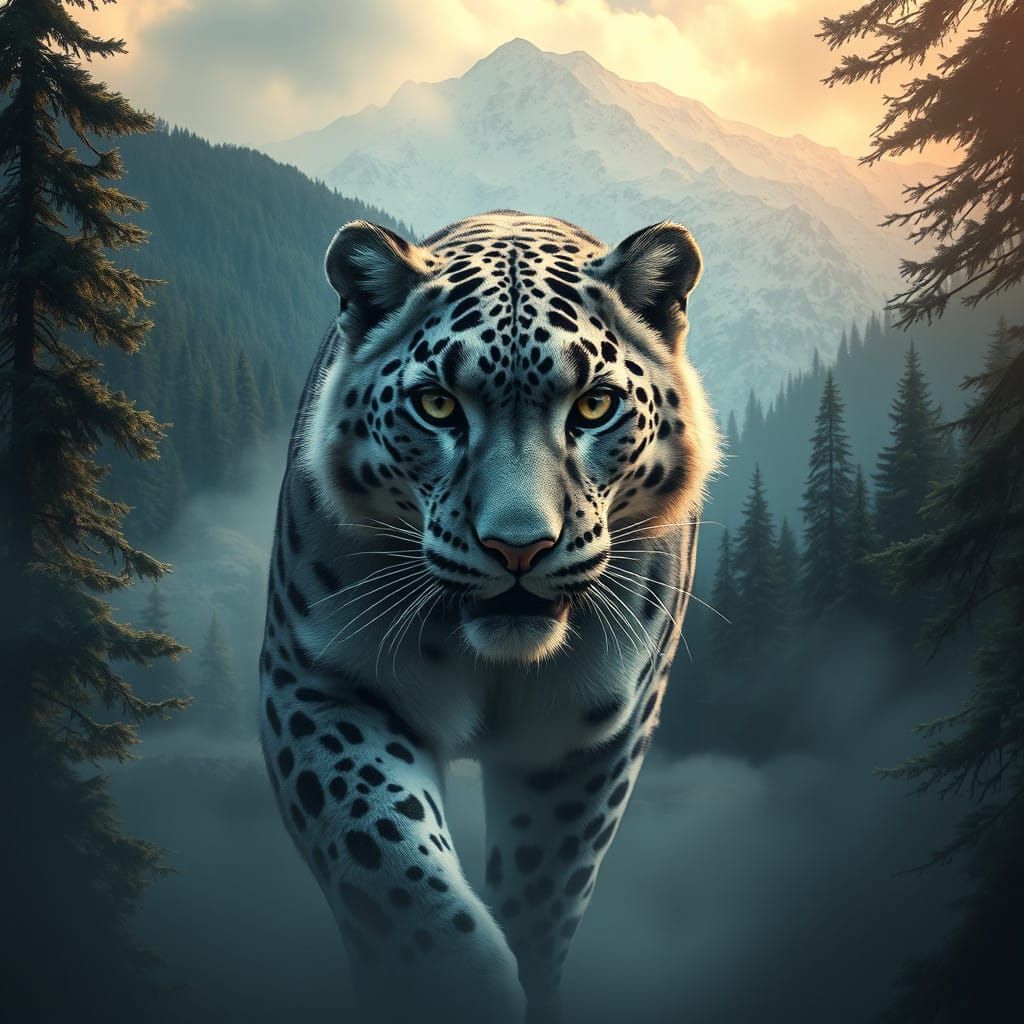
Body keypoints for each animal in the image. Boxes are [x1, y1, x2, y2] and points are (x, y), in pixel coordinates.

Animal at [259, 210, 719, 1024]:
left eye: (594, 406)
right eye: (438, 405)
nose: (518, 546)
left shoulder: (585, 735)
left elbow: (541, 891)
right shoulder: (320, 683)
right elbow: (387, 863)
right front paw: (447, 984)